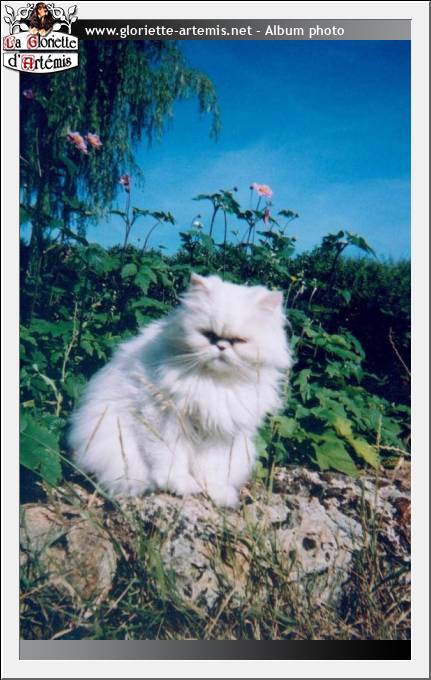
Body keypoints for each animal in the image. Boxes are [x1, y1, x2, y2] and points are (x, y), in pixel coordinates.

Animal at [68, 273, 292, 507]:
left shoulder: (220, 432)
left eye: (238, 341)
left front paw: (217, 493)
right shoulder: (162, 419)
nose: (221, 347)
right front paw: (180, 485)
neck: (214, 382)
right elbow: (170, 459)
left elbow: (212, 469)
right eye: (209, 335)